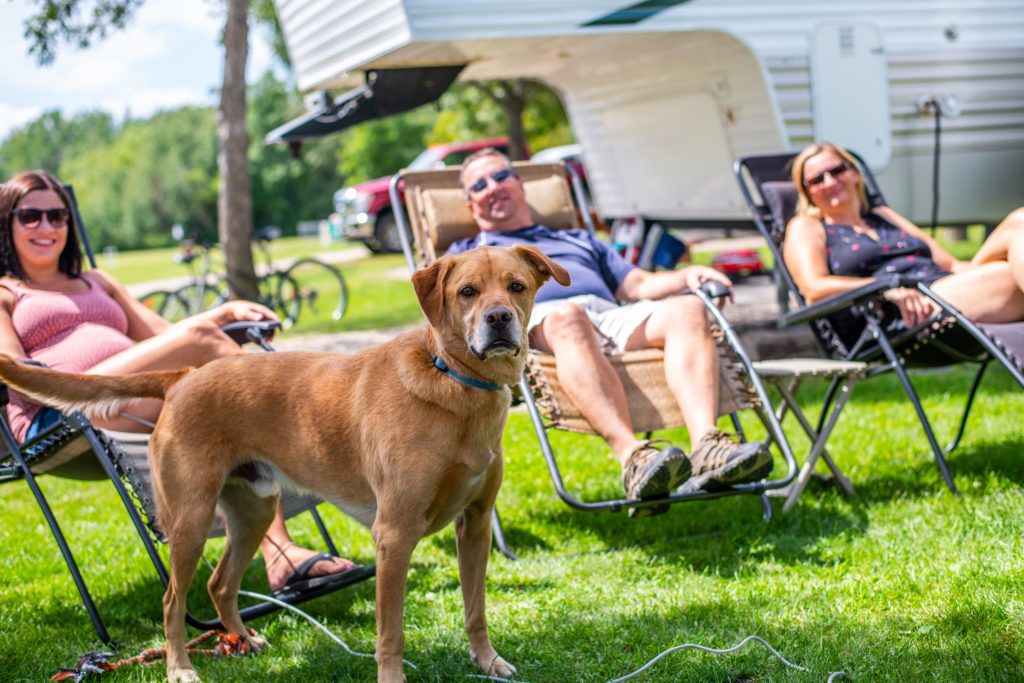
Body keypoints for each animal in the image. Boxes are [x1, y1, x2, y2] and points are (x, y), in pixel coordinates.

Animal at [0, 244, 573, 679]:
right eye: (467, 292)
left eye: (517, 287)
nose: (499, 319)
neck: (456, 385)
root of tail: (183, 375)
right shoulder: (394, 535)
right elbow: (390, 632)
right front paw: (394, 676)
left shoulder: (474, 524)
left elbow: (476, 610)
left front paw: (488, 663)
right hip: (189, 522)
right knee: (173, 602)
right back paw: (181, 668)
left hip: (252, 512)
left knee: (220, 584)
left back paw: (243, 641)